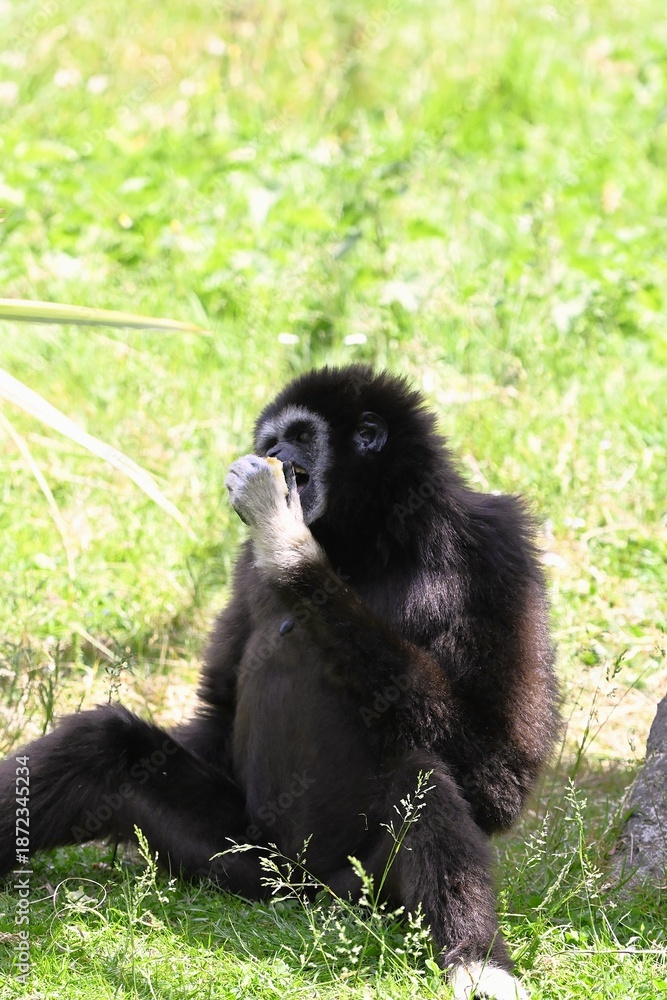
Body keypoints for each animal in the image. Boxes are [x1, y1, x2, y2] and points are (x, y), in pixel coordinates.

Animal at [0, 365, 559, 999]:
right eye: (271, 439)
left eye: (297, 436)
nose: (275, 454)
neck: (370, 546)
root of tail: (300, 887)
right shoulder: (244, 567)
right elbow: (217, 711)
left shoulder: (496, 551)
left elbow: (500, 771)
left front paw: (289, 548)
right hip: (239, 856)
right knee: (104, 745)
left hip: (359, 888)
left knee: (423, 775)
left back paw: (477, 962)